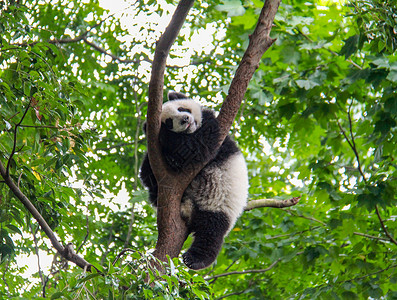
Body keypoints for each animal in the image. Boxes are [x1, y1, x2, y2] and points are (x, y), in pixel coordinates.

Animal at [138, 91, 246, 270]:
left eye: (182, 108)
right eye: (169, 122)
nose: (184, 120)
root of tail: (189, 208)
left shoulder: (215, 130)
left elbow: (194, 146)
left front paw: (162, 135)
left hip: (219, 204)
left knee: (210, 233)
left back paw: (195, 259)